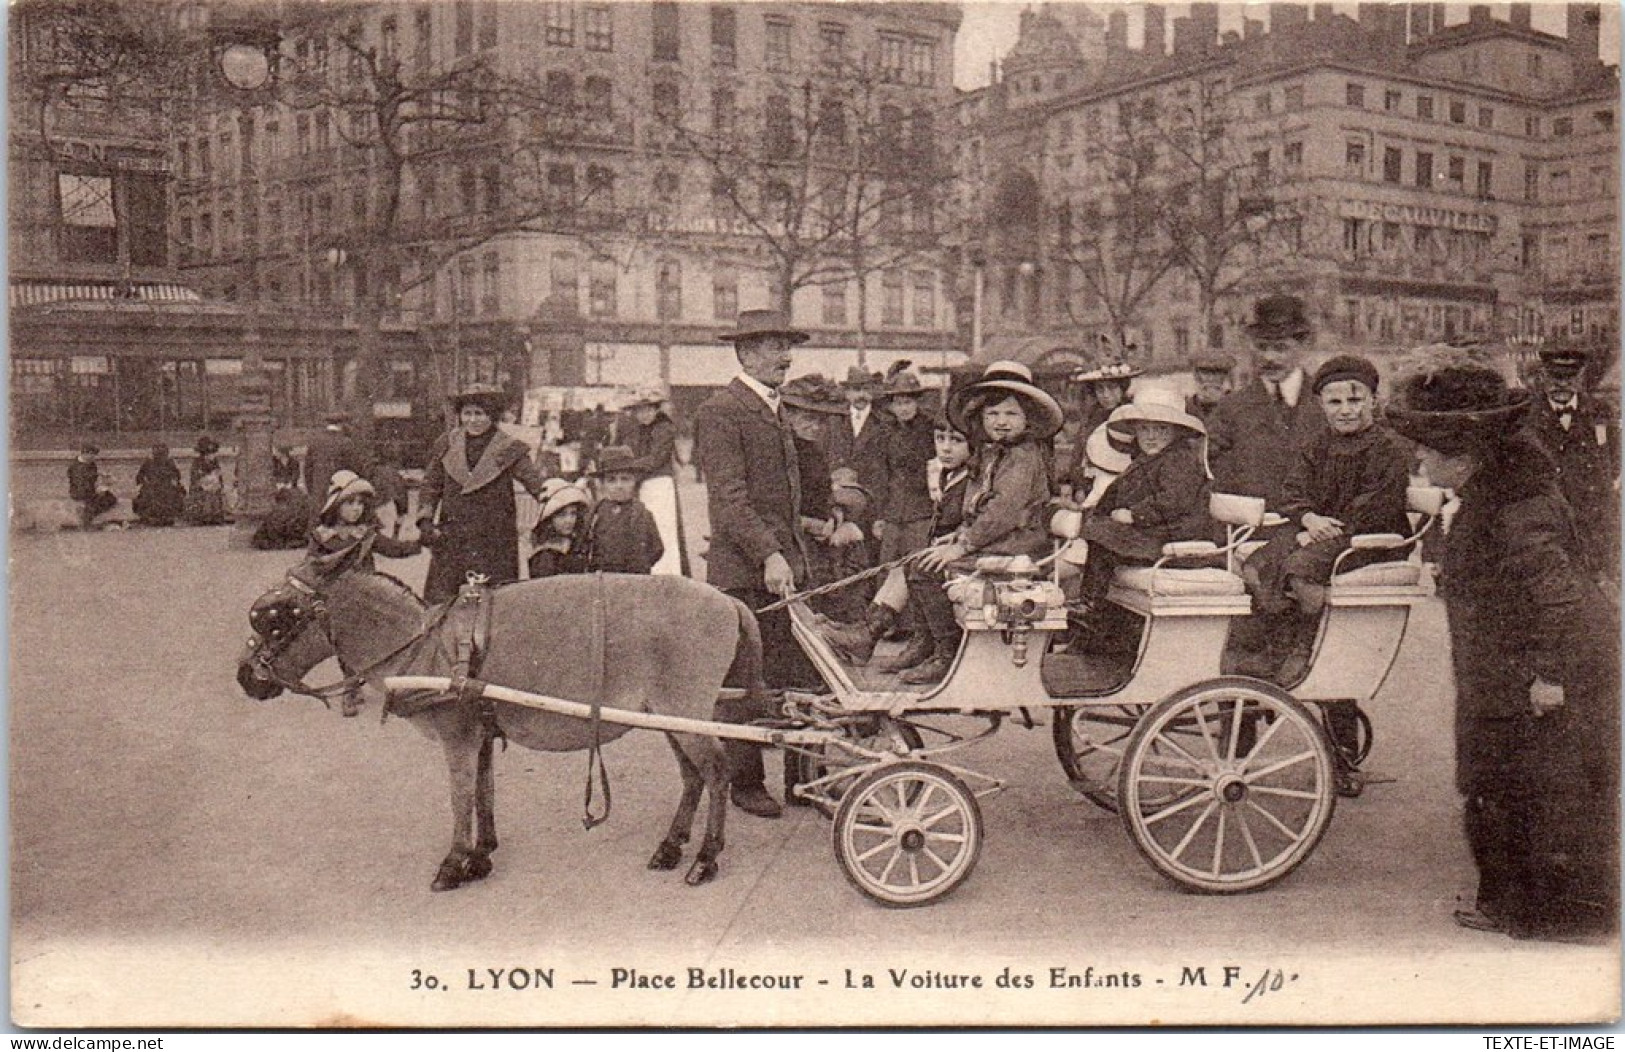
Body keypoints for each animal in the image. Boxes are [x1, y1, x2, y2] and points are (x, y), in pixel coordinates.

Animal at [237, 556, 770, 891]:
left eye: (276, 619)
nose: (246, 678)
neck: (425, 646)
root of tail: (727, 600)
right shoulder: (480, 732)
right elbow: (483, 791)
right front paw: (481, 855)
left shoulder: (456, 734)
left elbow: (459, 797)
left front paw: (454, 863)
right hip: (669, 715)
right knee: (693, 776)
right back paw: (671, 847)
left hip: (685, 711)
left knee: (716, 772)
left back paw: (705, 858)